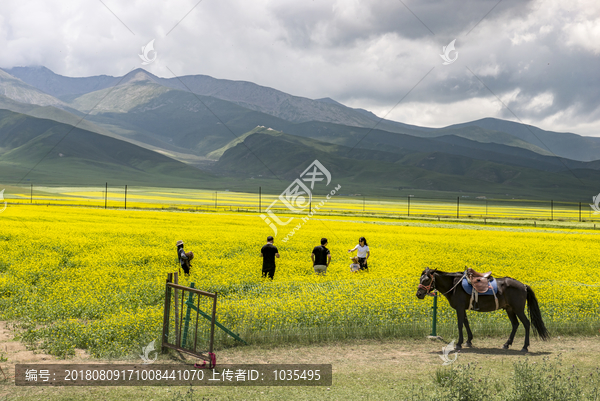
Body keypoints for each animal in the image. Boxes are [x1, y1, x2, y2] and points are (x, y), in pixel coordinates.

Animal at [418, 268, 548, 350]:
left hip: (518, 310)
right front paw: (469, 341)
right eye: (420, 279)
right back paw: (506, 344)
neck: (454, 285)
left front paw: (459, 343)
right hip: (509, 309)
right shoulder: (463, 309)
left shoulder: (459, 308)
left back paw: (525, 347)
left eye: (427, 280)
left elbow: (460, 324)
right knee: (515, 324)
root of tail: (524, 286)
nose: (418, 294)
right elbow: (466, 323)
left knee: (526, 324)